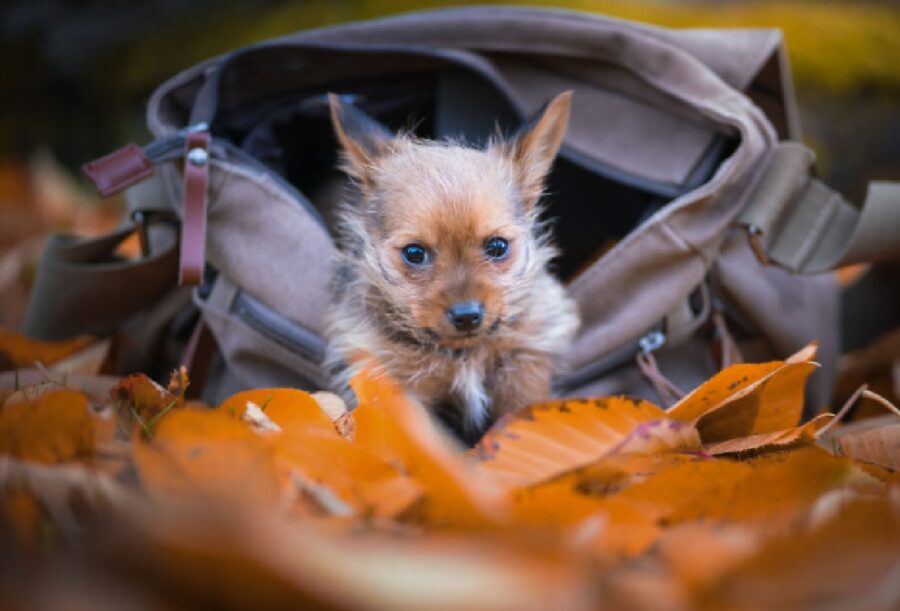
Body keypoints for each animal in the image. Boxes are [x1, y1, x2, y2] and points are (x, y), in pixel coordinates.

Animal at [326, 91, 580, 438]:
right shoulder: (401, 388)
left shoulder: (526, 365)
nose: (467, 315)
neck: (464, 355)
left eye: (497, 247)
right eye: (414, 253)